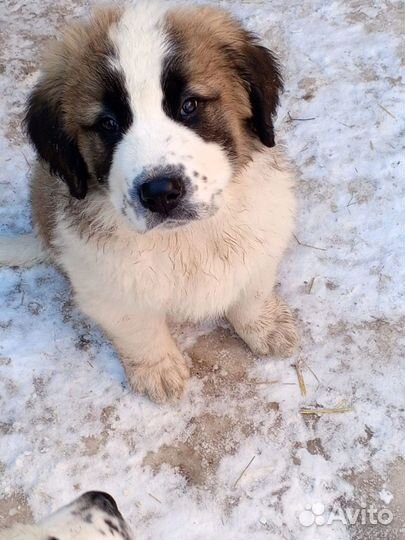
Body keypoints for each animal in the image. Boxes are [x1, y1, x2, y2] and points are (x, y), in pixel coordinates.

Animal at [0, 2, 298, 400]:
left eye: (189, 105)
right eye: (108, 124)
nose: (160, 192)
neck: (185, 239)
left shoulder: (262, 239)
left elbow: (251, 290)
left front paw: (265, 325)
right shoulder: (103, 285)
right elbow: (137, 327)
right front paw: (158, 368)